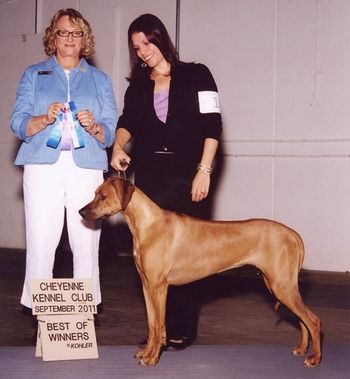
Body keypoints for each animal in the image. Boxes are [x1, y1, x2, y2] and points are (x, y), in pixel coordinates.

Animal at [79, 177, 320, 368]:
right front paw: (146, 353)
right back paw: (302, 349)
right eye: (95, 194)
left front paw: (153, 358)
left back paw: (314, 358)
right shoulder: (147, 286)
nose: (81, 212)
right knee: (302, 320)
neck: (147, 225)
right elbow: (152, 325)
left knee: (313, 320)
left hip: (281, 286)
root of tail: (292, 234)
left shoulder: (159, 287)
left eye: (103, 196)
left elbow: (160, 326)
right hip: (279, 286)